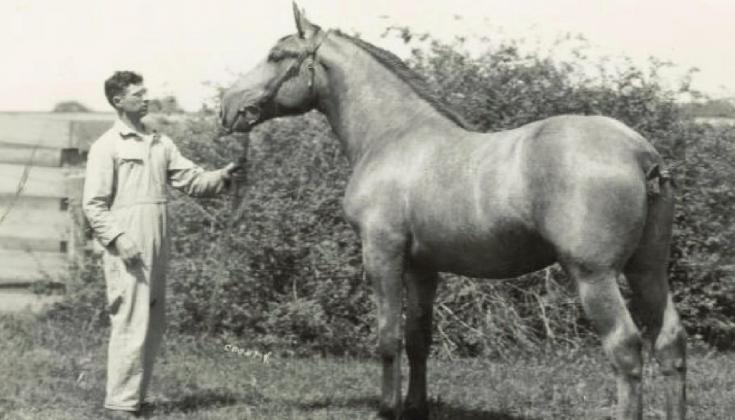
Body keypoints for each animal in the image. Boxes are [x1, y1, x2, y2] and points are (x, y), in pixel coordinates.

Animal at [219, 4, 687, 420]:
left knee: (625, 349)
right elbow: (417, 338)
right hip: (647, 270)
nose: (227, 107)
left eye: (277, 55)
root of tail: (640, 152)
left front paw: (388, 409)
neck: (393, 135)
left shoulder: (382, 254)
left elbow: (388, 337)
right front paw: (415, 407)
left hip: (594, 276)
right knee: (670, 343)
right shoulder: (423, 267)